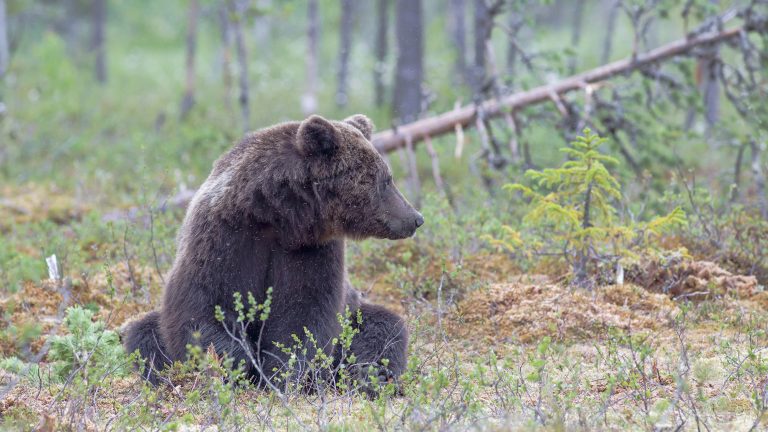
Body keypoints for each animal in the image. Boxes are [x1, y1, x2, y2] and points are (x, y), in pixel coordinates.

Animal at [123, 113, 424, 394]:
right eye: (386, 180)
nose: (416, 218)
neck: (276, 215)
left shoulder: (310, 250)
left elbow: (303, 315)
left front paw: (281, 376)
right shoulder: (225, 236)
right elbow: (203, 304)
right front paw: (234, 364)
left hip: (354, 310)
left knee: (383, 328)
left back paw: (370, 375)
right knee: (144, 334)